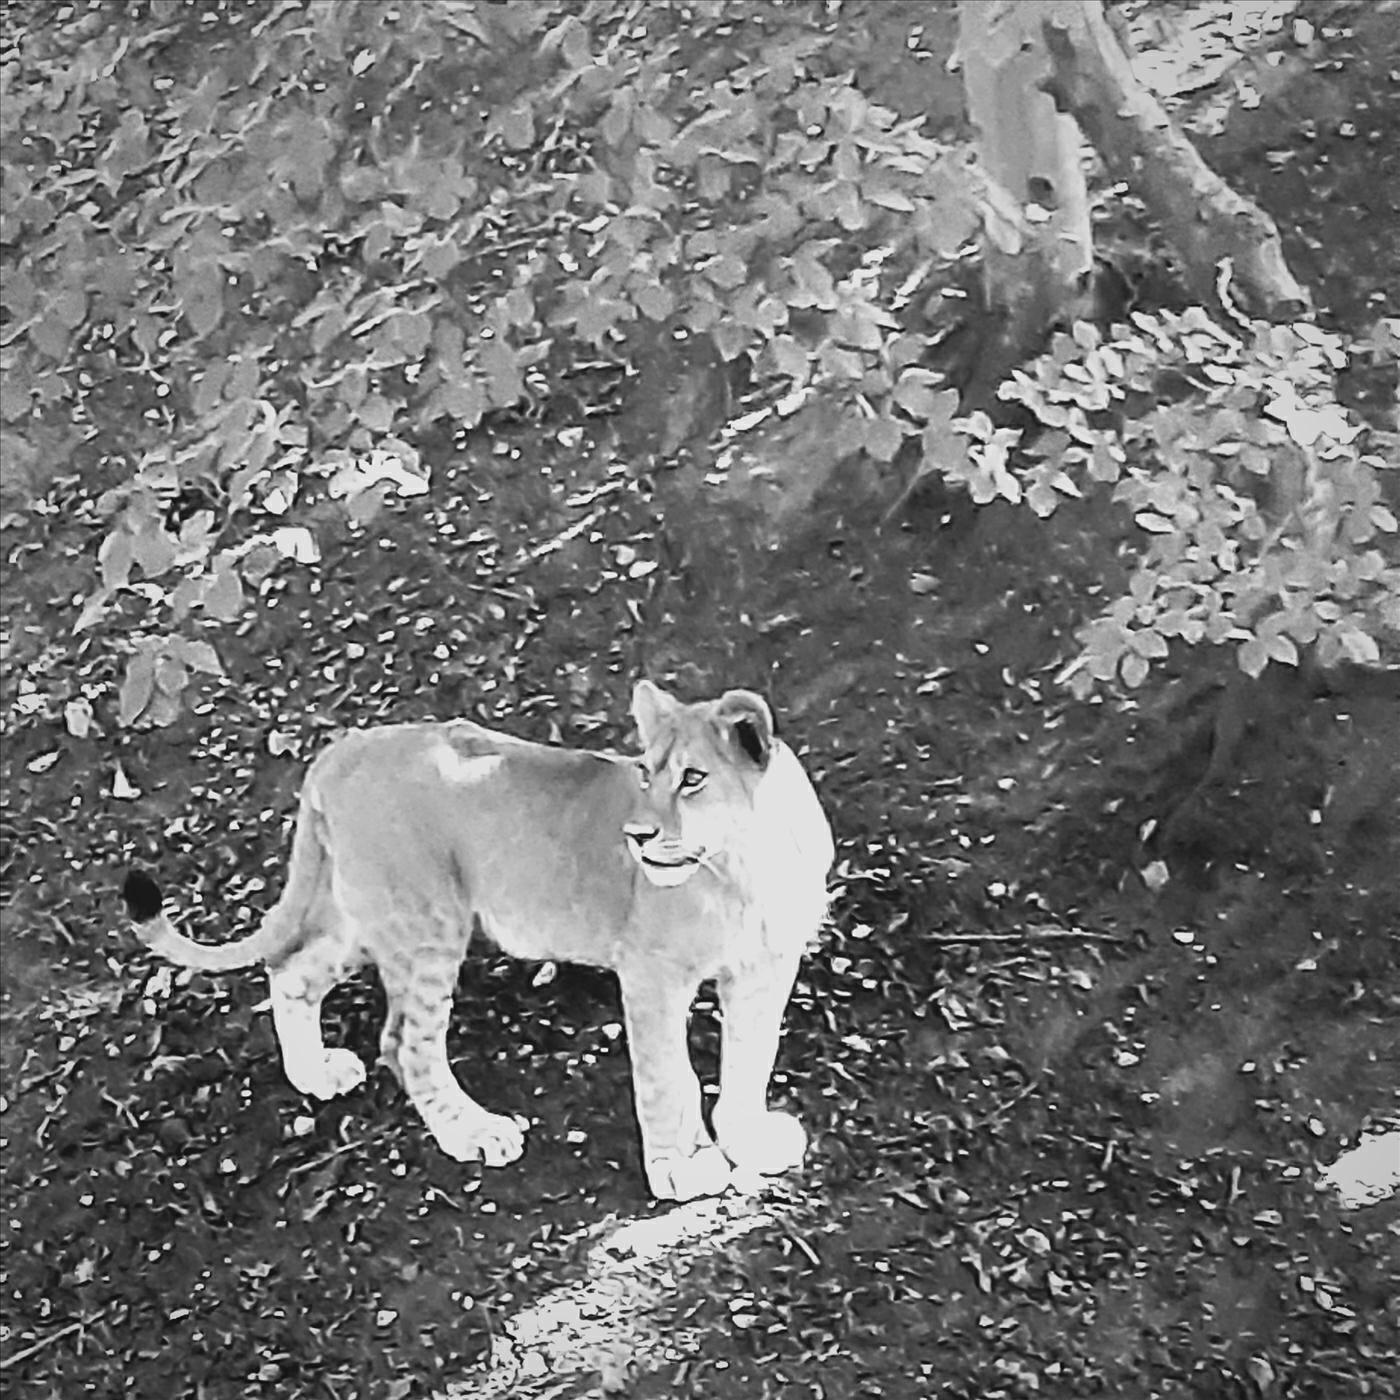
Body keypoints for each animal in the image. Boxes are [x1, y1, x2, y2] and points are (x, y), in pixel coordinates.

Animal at [122, 681, 834, 1201]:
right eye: (643, 774)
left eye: (692, 779)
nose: (635, 836)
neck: (748, 865)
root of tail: (337, 753)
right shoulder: (651, 974)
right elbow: (667, 1076)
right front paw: (683, 1165)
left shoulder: (767, 968)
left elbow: (751, 1058)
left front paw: (748, 1140)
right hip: (428, 923)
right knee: (404, 1044)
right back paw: (476, 1133)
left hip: (371, 915)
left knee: (293, 972)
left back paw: (317, 1074)